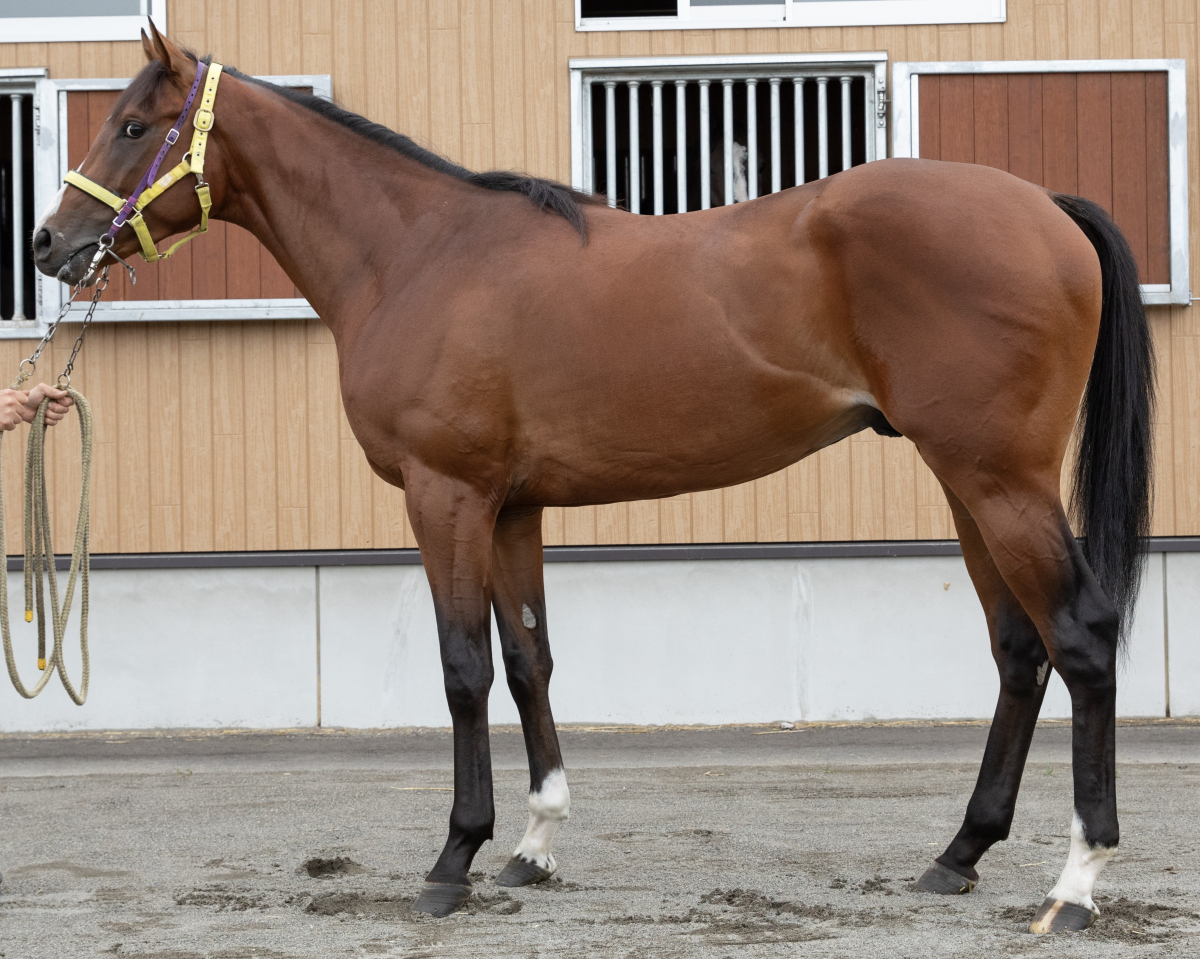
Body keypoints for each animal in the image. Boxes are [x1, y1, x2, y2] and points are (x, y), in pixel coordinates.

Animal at [33, 23, 1153, 932]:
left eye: (132, 125)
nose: (50, 243)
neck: (419, 254)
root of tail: (1044, 204)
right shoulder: (512, 506)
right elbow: (530, 659)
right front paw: (533, 845)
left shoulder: (446, 495)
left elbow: (463, 669)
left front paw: (453, 858)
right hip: (966, 480)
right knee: (1019, 649)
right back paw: (958, 853)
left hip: (998, 477)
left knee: (1081, 637)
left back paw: (1077, 882)